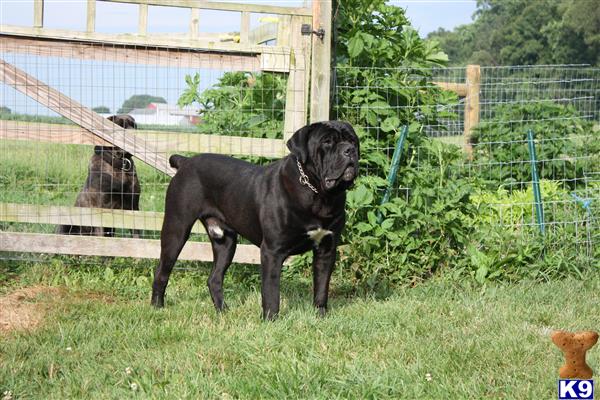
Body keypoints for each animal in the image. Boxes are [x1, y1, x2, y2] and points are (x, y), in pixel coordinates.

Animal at [152, 120, 358, 320]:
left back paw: (223, 311)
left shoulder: (326, 249)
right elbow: (271, 292)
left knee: (214, 278)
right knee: (162, 271)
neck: (320, 195)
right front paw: (270, 320)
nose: (349, 150)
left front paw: (320, 317)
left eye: (353, 140)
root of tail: (186, 161)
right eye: (327, 142)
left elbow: (322, 287)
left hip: (225, 241)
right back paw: (157, 307)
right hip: (176, 229)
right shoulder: (272, 251)